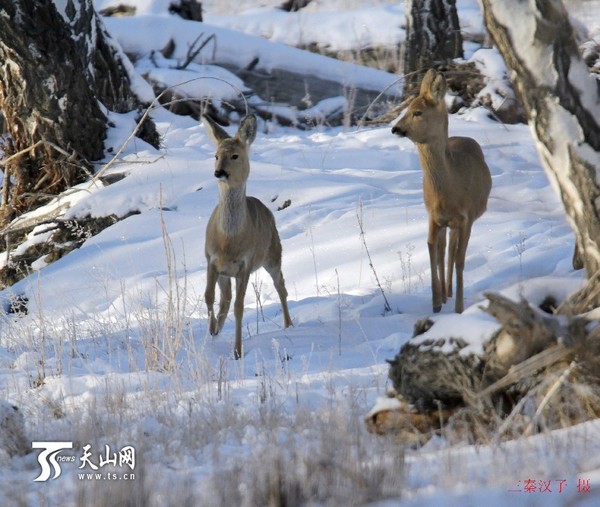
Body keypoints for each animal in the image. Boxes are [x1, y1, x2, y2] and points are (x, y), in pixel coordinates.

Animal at [203, 113, 294, 360]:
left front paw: (237, 351)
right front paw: (212, 330)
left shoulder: (245, 264)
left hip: (273, 255)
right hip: (227, 273)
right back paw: (216, 331)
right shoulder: (211, 260)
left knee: (281, 286)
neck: (228, 241)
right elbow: (209, 297)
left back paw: (289, 325)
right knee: (225, 299)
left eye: (235, 155)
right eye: (215, 156)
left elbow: (240, 307)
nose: (219, 172)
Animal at [394, 67, 492, 314]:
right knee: (443, 250)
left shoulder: (466, 218)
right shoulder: (433, 216)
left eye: (417, 112)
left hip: (465, 220)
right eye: (406, 109)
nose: (395, 128)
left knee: (453, 254)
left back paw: (450, 293)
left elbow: (460, 260)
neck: (448, 191)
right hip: (446, 223)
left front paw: (458, 307)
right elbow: (432, 249)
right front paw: (436, 303)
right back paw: (445, 294)